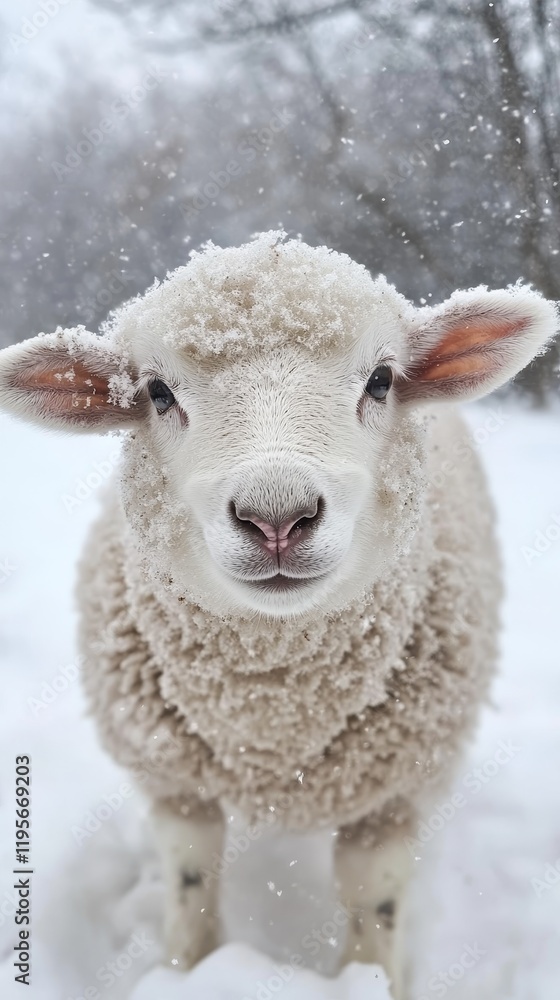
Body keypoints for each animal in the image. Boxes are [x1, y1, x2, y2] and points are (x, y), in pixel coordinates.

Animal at [0, 230, 556, 997]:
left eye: (381, 380)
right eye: (158, 392)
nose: (276, 517)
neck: (274, 711)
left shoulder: (392, 793)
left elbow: (374, 902)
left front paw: (370, 977)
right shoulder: (177, 785)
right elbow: (192, 879)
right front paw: (189, 968)